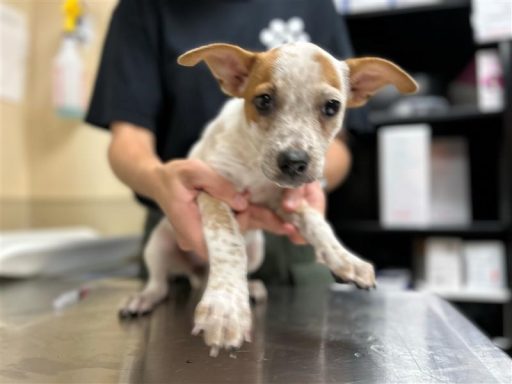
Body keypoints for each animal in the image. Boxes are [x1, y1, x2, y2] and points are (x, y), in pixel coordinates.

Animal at [121, 42, 420, 356]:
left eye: (332, 107)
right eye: (263, 100)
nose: (294, 162)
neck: (254, 164)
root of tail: (197, 272)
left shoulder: (285, 201)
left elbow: (318, 224)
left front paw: (344, 259)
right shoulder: (211, 190)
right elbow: (228, 242)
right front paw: (226, 308)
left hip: (256, 251)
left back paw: (251, 287)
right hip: (158, 245)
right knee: (159, 283)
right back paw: (144, 299)